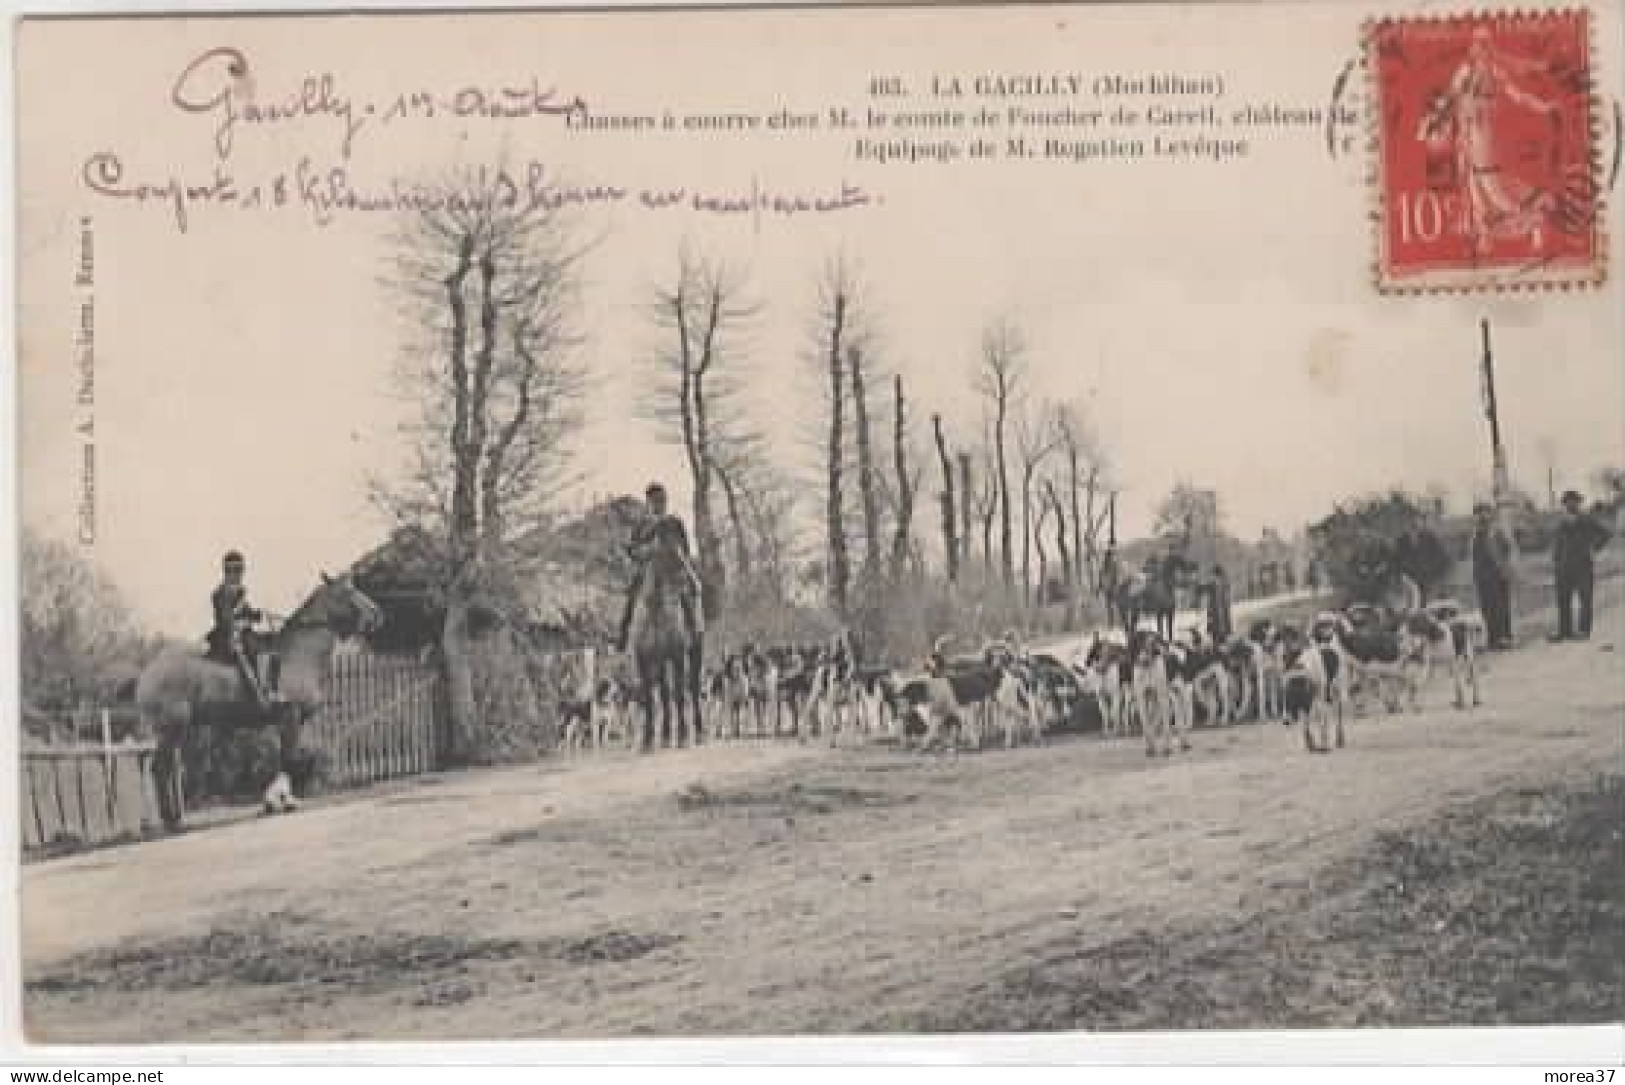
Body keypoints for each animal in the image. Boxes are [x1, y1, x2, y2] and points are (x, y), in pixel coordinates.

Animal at [134, 571, 383, 825]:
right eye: (349, 591)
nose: (377, 613)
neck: (297, 654)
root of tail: (149, 672)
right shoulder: (290, 716)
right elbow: (289, 758)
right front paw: (277, 800)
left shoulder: (296, 720)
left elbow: (288, 757)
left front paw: (282, 798)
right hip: (172, 728)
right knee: (159, 768)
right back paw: (171, 820)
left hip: (175, 731)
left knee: (163, 768)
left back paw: (174, 817)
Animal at [627, 529, 705, 750]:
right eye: (670, 554)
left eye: (682, 551)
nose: (696, 586)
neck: (655, 611)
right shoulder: (644, 660)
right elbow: (649, 699)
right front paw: (647, 740)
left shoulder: (677, 656)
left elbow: (679, 694)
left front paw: (683, 736)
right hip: (660, 662)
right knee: (663, 694)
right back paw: (664, 735)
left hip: (695, 650)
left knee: (692, 687)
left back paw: (699, 732)